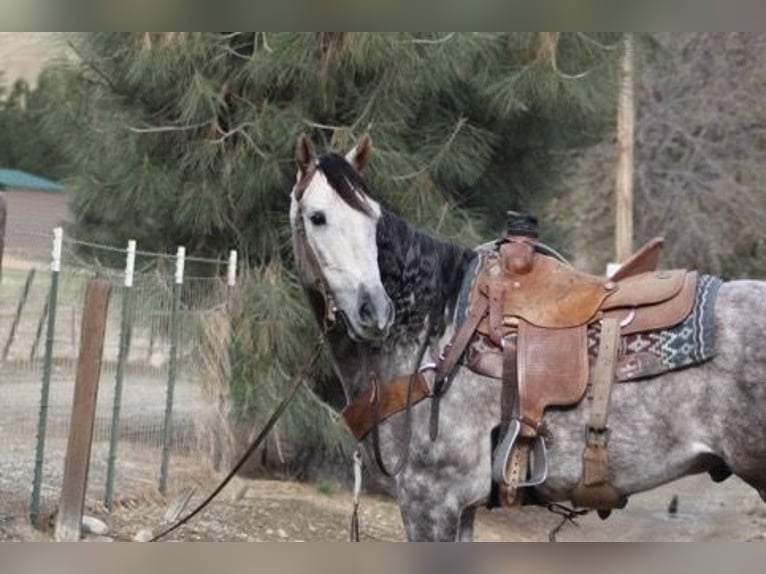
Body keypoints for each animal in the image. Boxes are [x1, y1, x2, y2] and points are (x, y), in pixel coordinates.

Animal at [288, 134, 766, 541]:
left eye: (371, 219)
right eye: (317, 217)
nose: (373, 310)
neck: (430, 331)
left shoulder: (431, 500)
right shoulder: (459, 508)